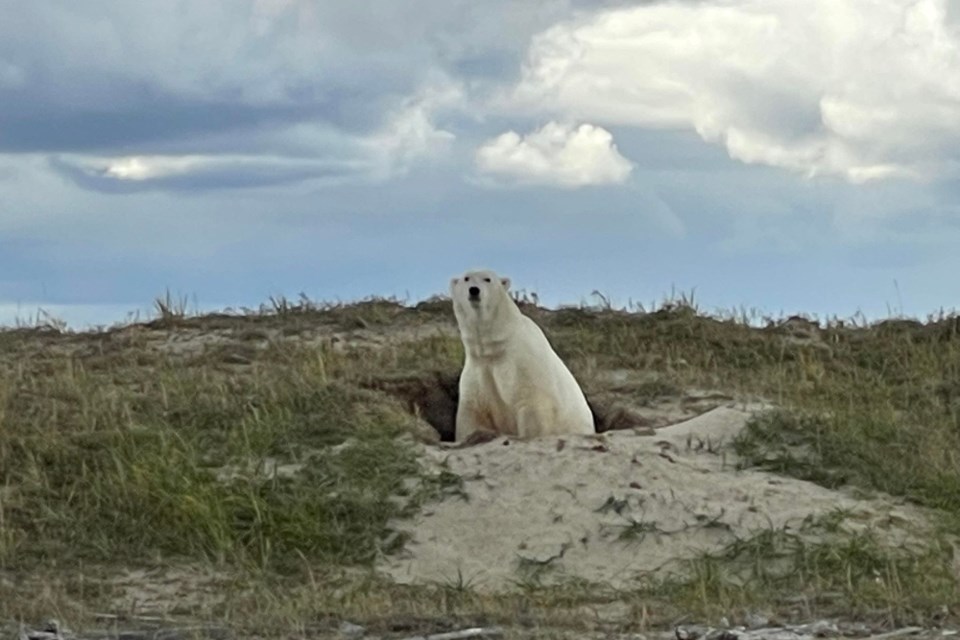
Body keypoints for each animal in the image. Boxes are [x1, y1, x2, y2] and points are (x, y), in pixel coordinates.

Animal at [448, 268, 592, 442]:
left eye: (487, 279)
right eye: (466, 279)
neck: (496, 348)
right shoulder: (478, 370)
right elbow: (472, 411)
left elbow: (532, 402)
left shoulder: (523, 363)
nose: (474, 290)